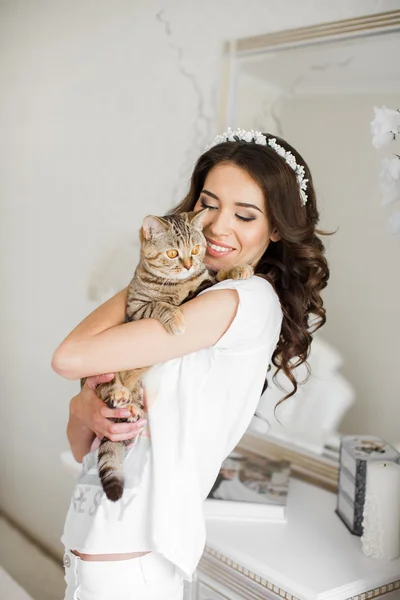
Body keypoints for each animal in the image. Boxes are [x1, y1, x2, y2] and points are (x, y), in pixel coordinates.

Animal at [82, 210, 253, 502]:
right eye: (173, 253)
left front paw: (237, 268)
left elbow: (216, 276)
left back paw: (131, 410)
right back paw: (118, 394)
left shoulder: (205, 283)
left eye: (195, 250)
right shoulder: (138, 309)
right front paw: (174, 317)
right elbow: (160, 305)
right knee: (107, 391)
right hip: (101, 372)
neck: (180, 284)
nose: (188, 265)